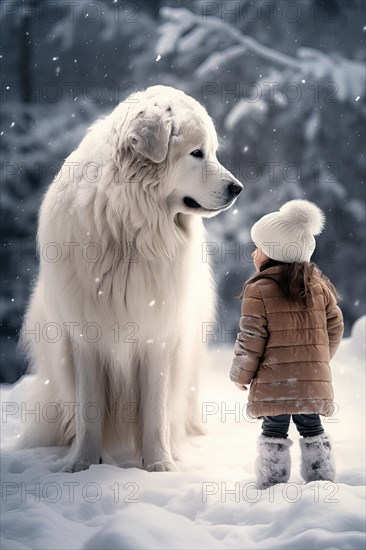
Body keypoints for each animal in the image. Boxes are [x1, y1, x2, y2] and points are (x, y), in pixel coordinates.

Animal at [19, 86, 243, 474]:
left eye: (212, 151)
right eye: (197, 153)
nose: (238, 188)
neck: (129, 228)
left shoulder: (157, 335)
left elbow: (155, 410)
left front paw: (160, 465)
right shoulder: (85, 337)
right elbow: (89, 410)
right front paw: (82, 464)